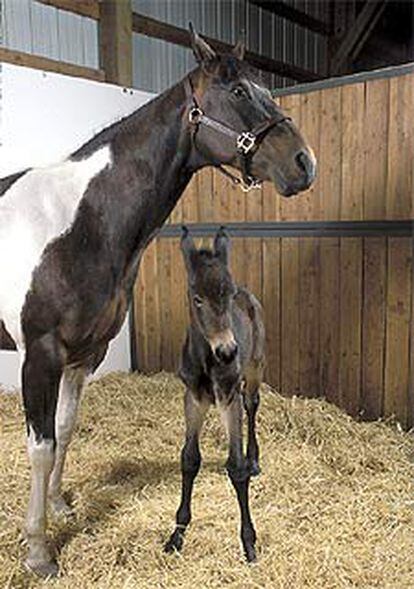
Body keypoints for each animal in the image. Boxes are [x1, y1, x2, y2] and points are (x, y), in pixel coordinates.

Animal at [0, 27, 316, 576]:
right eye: (239, 92)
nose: (305, 163)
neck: (79, 223)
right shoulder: (39, 356)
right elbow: (40, 446)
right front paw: (38, 549)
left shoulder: (83, 355)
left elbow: (64, 428)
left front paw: (59, 504)